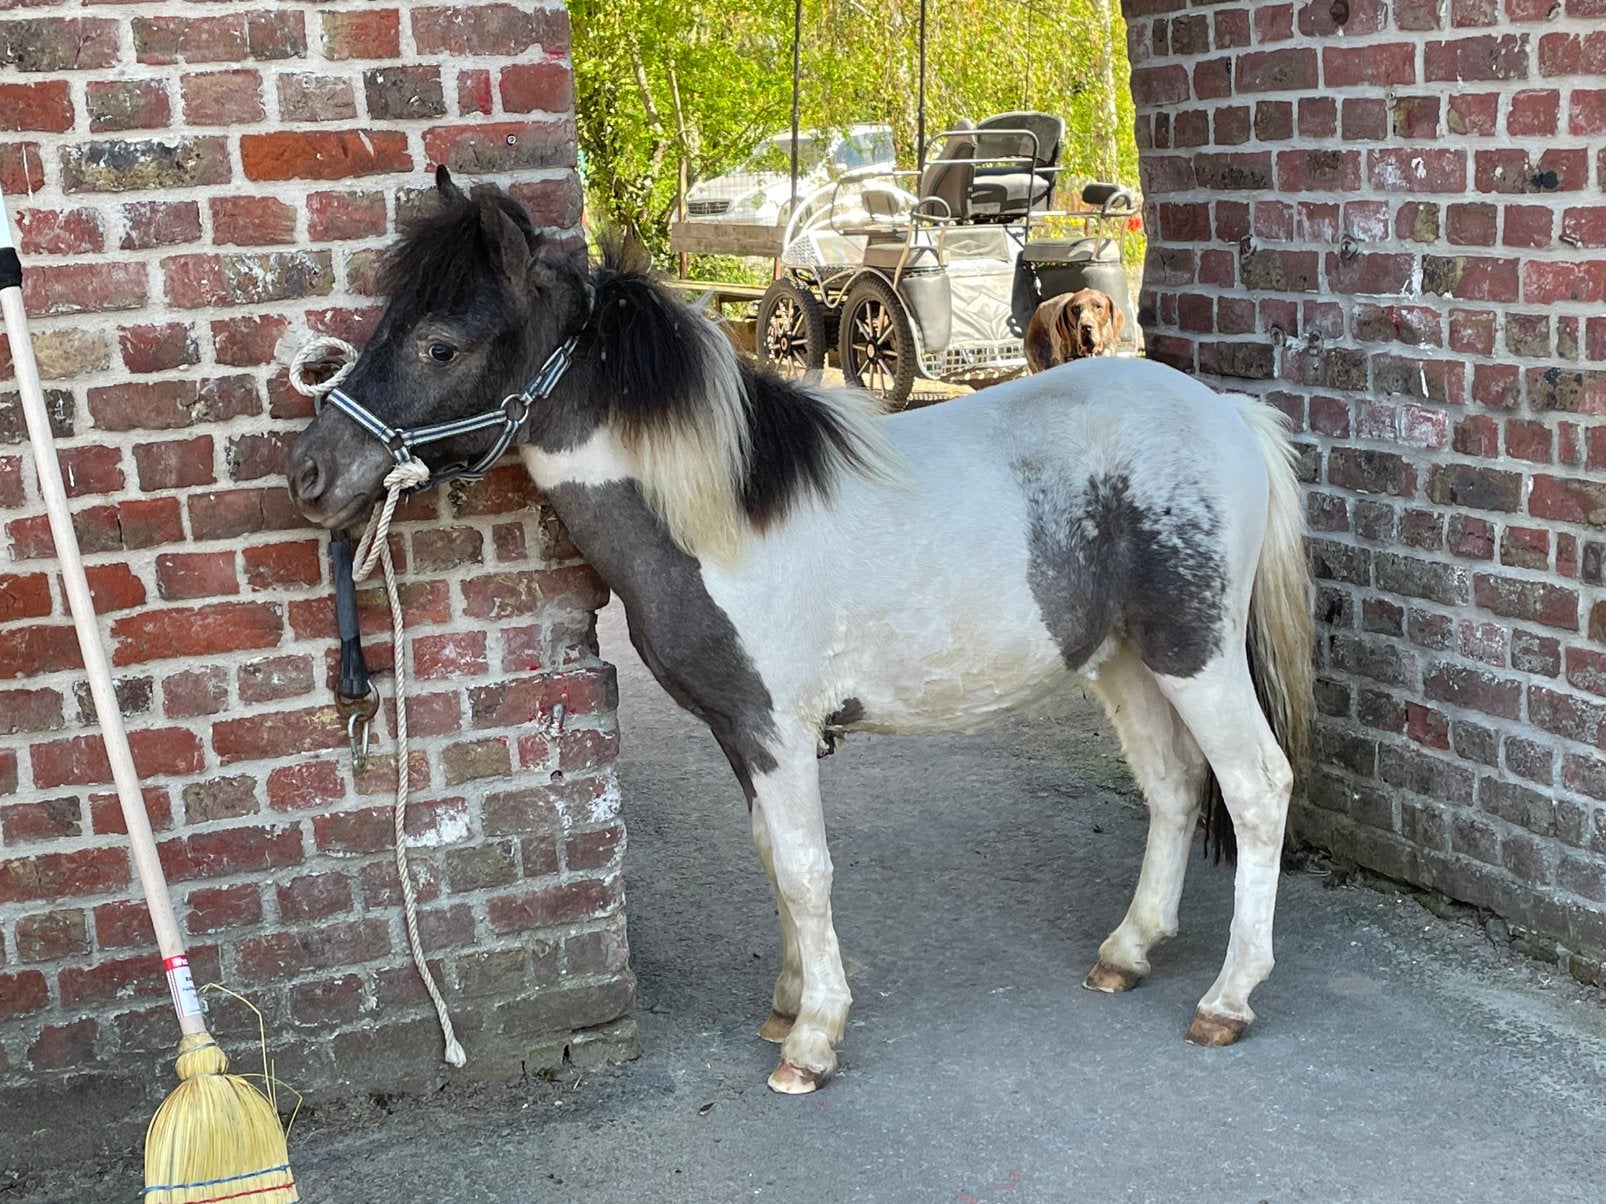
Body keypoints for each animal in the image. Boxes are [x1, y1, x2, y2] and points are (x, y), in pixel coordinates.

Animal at [286, 168, 1314, 1095]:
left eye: (440, 345)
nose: (309, 473)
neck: (724, 516)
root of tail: (1229, 416)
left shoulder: (777, 728)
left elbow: (807, 866)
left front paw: (814, 1038)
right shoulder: (738, 731)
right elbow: (769, 857)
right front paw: (786, 1003)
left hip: (1196, 657)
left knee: (1256, 789)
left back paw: (1228, 998)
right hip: (1124, 661)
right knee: (1174, 788)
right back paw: (1128, 951)